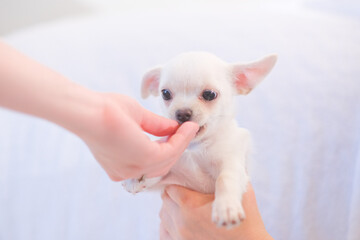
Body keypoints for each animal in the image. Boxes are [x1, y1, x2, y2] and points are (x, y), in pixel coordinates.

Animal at [122, 51, 278, 228]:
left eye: (209, 94)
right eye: (165, 93)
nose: (182, 113)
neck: (195, 147)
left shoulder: (234, 164)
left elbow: (225, 179)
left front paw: (226, 207)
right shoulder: (172, 180)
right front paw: (137, 177)